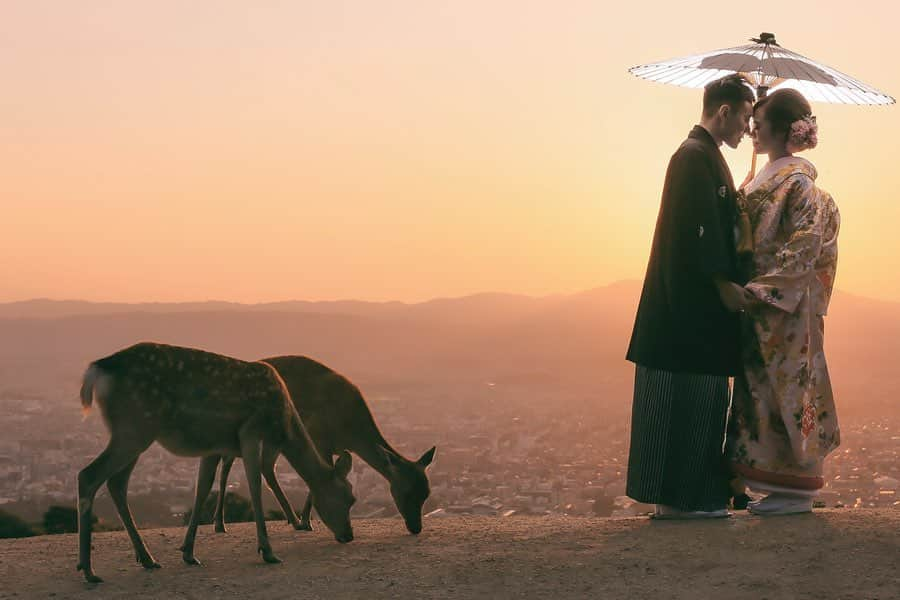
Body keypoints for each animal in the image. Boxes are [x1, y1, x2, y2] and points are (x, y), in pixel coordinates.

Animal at [74, 344, 356, 584]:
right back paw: (89, 570)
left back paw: (146, 559)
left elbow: (203, 488)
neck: (283, 424)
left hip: (134, 432)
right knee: (88, 475)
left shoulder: (213, 446)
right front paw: (267, 551)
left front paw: (188, 552)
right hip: (134, 427)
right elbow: (254, 485)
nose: (349, 535)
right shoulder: (250, 431)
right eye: (349, 498)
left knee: (116, 483)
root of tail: (97, 369)